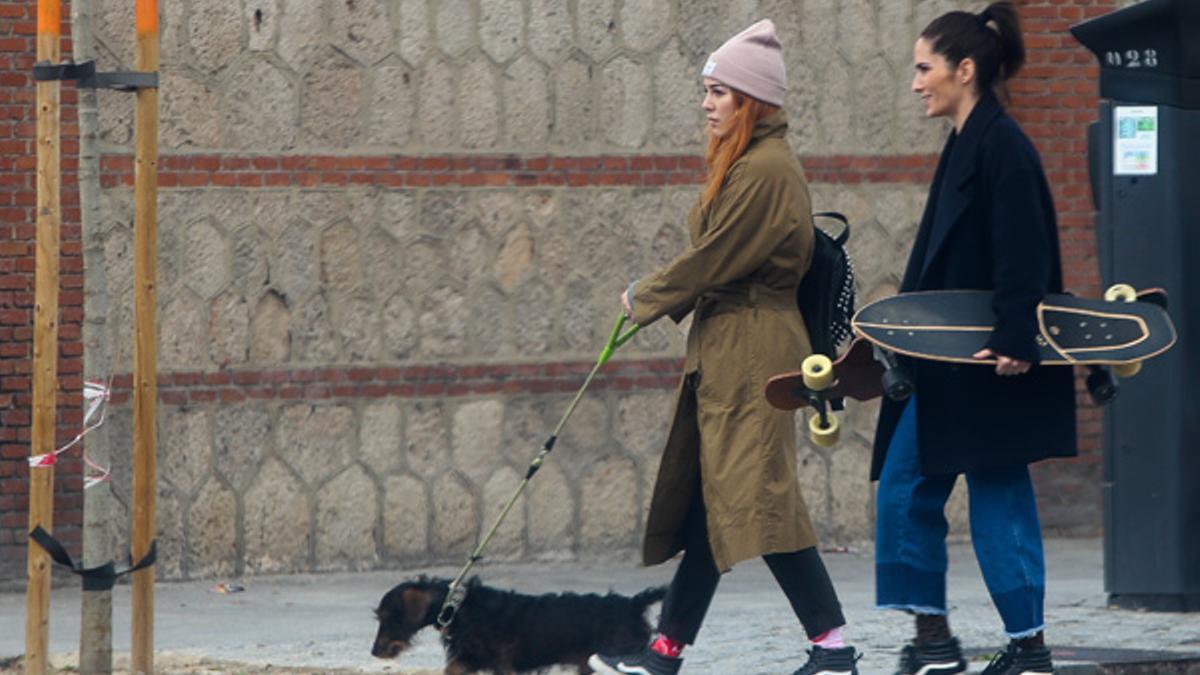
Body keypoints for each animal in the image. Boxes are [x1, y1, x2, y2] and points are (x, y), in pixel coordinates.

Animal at [372, 571, 667, 672]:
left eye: (386, 617)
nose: (374, 651)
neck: (458, 609)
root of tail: (633, 604)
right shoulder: (467, 659)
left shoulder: (503, 664)